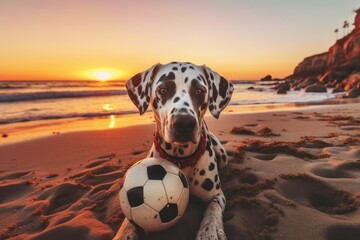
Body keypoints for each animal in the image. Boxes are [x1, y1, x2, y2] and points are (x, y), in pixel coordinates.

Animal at [114, 62, 235, 240]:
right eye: (163, 90)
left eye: (199, 91)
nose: (184, 123)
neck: (181, 158)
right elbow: (128, 221)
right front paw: (124, 233)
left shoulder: (216, 195)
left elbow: (213, 209)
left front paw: (210, 231)